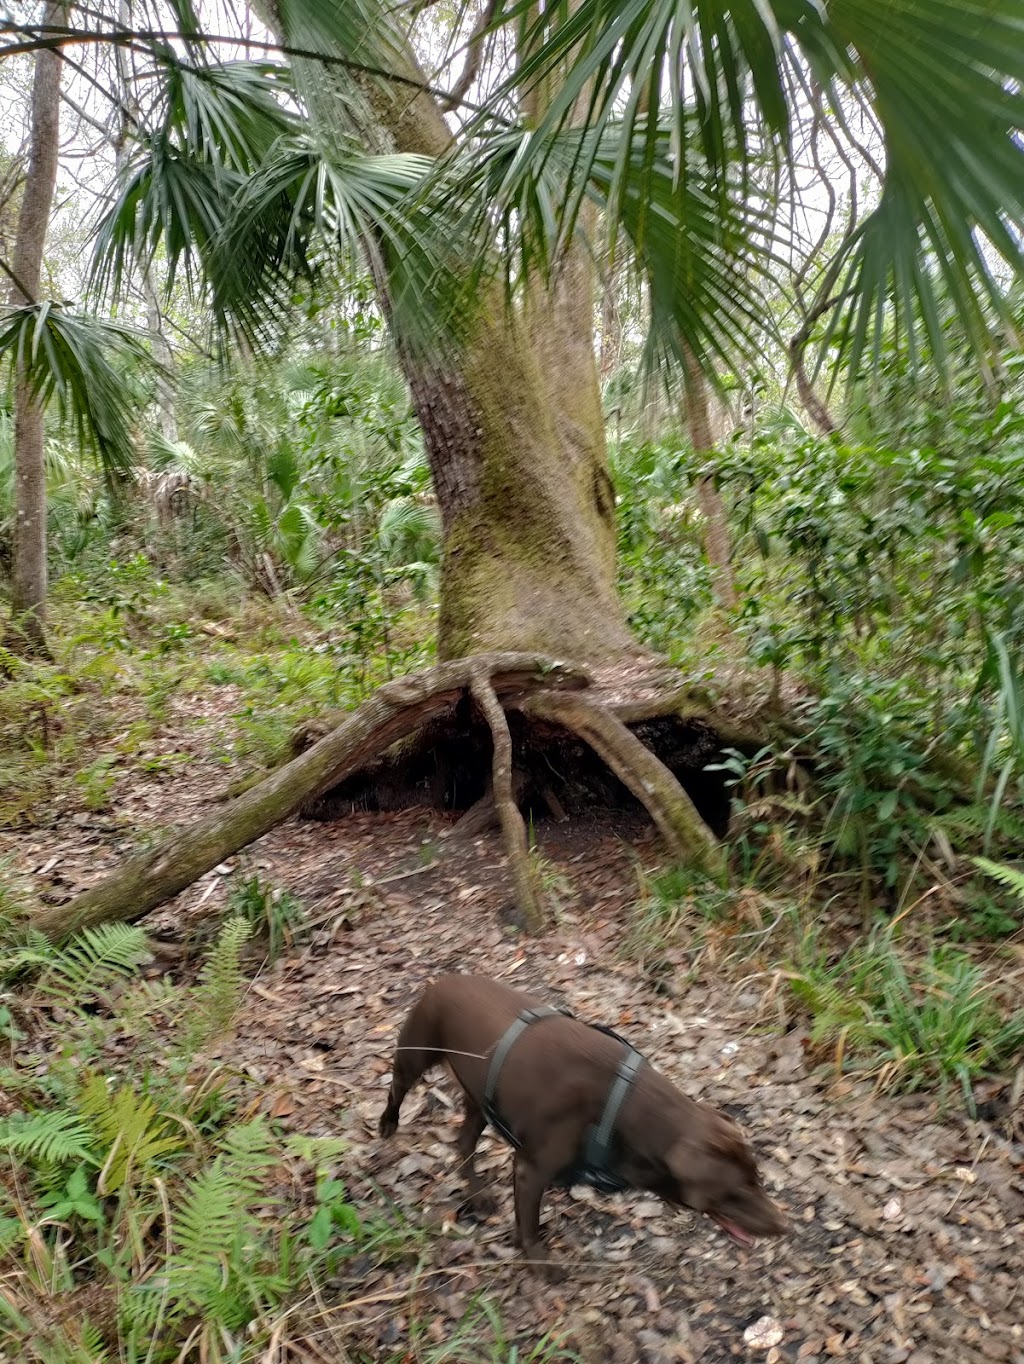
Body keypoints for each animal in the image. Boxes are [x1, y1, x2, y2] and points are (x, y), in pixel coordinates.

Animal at [381, 976, 790, 1271]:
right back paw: (388, 1124)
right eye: (733, 1193)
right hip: (415, 1053)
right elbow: (529, 1225)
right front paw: (539, 1262)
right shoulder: (530, 1170)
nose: (783, 1226)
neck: (626, 1108)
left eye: (757, 1177)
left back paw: (477, 1194)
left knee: (464, 1141)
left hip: (482, 1095)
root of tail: (444, 978)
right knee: (397, 1087)